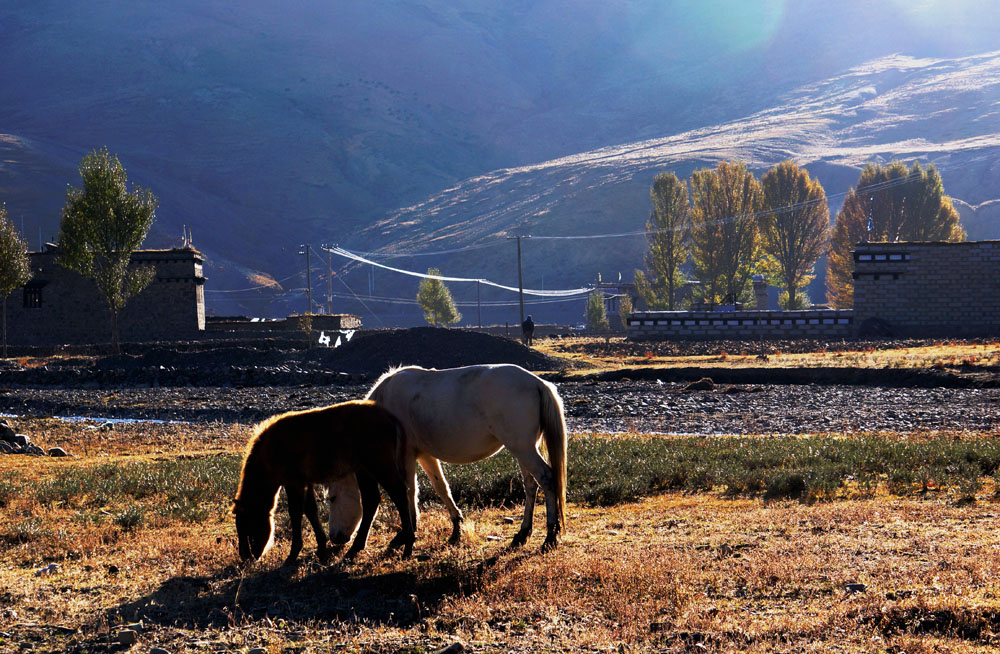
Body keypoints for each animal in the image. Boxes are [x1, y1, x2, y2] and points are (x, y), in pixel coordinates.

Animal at [233, 402, 414, 568]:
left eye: (247, 524)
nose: (246, 558)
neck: (272, 449)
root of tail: (390, 418)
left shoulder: (294, 483)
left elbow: (296, 513)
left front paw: (293, 554)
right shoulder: (305, 483)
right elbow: (311, 511)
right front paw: (321, 548)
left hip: (379, 465)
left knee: (400, 495)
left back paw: (408, 546)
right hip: (364, 470)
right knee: (372, 501)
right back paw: (354, 550)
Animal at [326, 364, 568, 552]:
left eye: (332, 498)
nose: (334, 538)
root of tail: (537, 383)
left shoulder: (406, 455)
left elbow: (408, 491)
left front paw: (406, 534)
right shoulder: (425, 455)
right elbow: (441, 487)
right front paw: (456, 527)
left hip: (523, 449)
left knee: (546, 478)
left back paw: (550, 536)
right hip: (523, 449)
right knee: (530, 484)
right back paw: (523, 533)